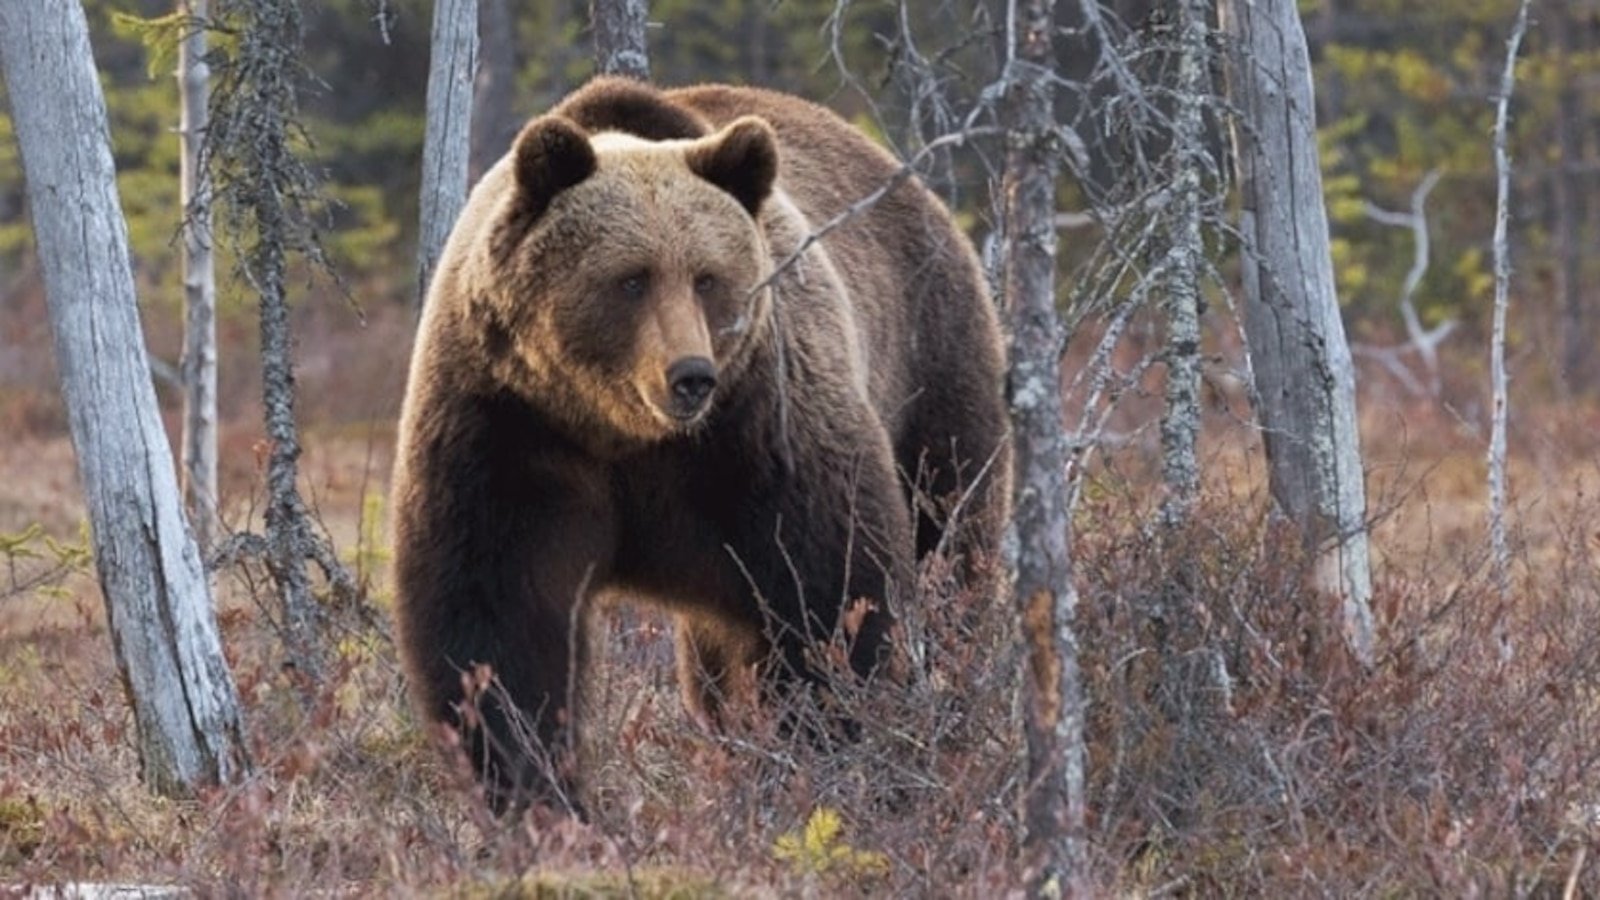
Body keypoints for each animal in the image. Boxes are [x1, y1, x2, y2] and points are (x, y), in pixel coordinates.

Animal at [392, 75, 1004, 807]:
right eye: (631, 277)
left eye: (708, 277)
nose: (691, 376)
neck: (622, 432)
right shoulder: (507, 428)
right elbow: (497, 619)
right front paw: (536, 788)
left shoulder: (761, 432)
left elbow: (831, 593)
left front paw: (827, 752)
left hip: (930, 369)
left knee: (949, 546)